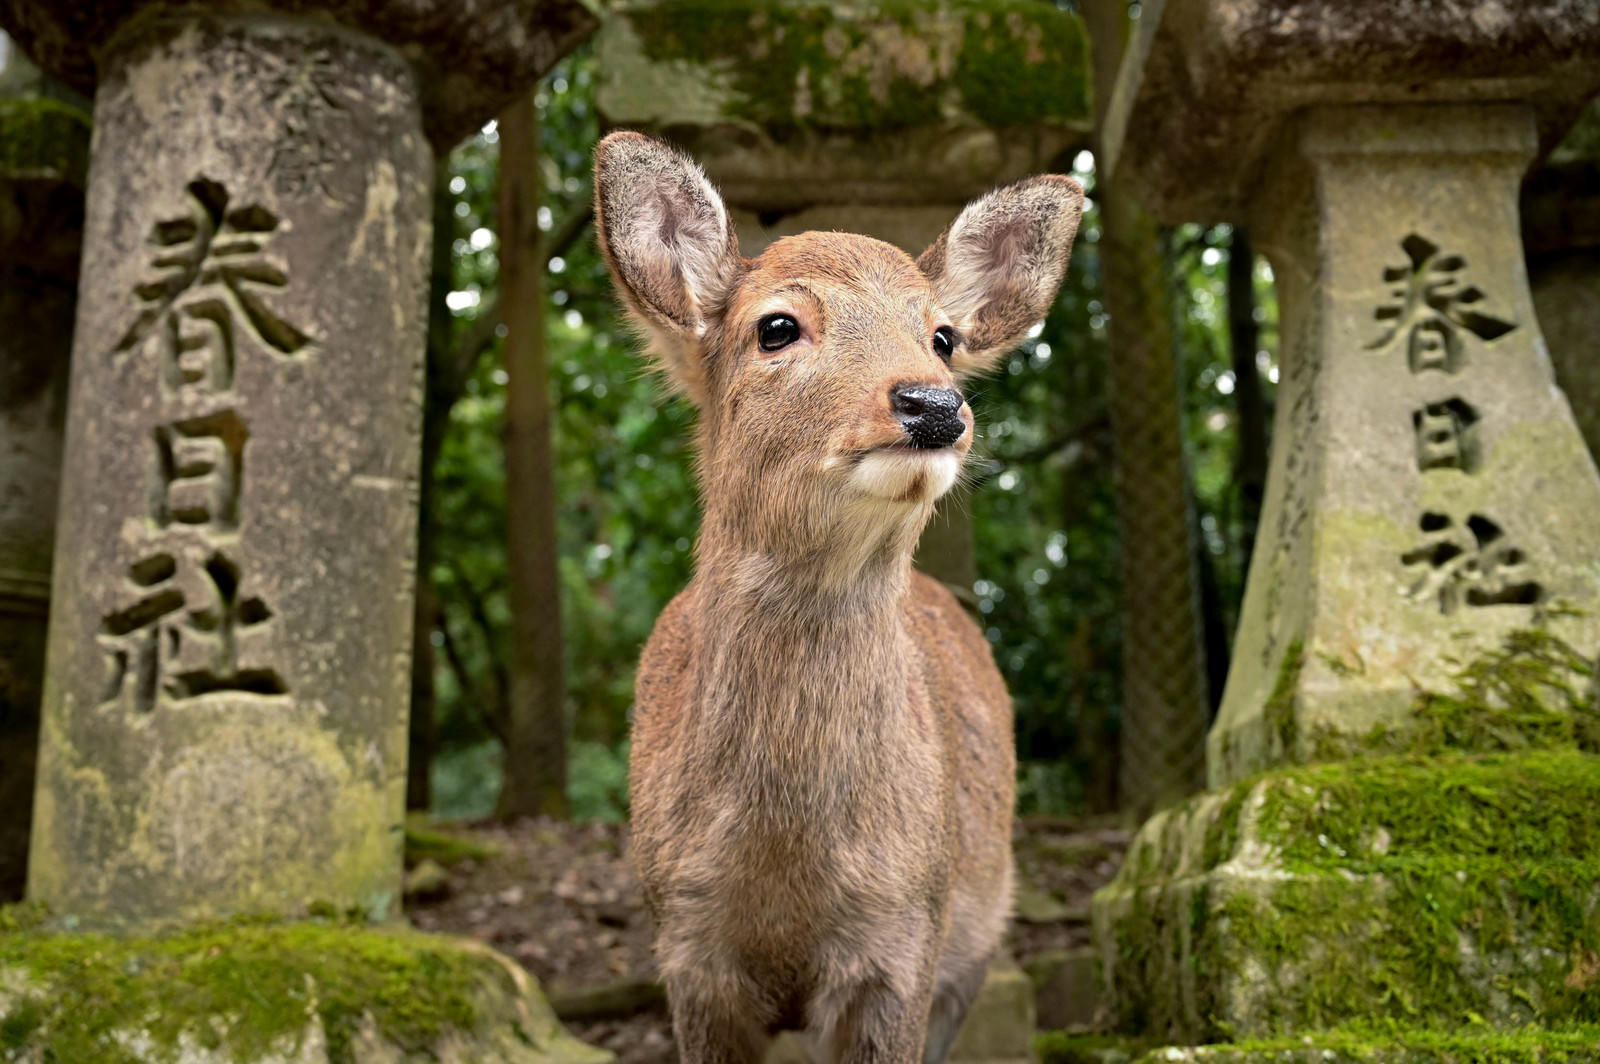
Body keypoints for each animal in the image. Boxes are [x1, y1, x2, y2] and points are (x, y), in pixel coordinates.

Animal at [593, 130, 1083, 1064]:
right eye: (777, 325)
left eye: (942, 334)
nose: (933, 404)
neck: (785, 867)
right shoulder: (687, 945)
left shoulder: (907, 939)